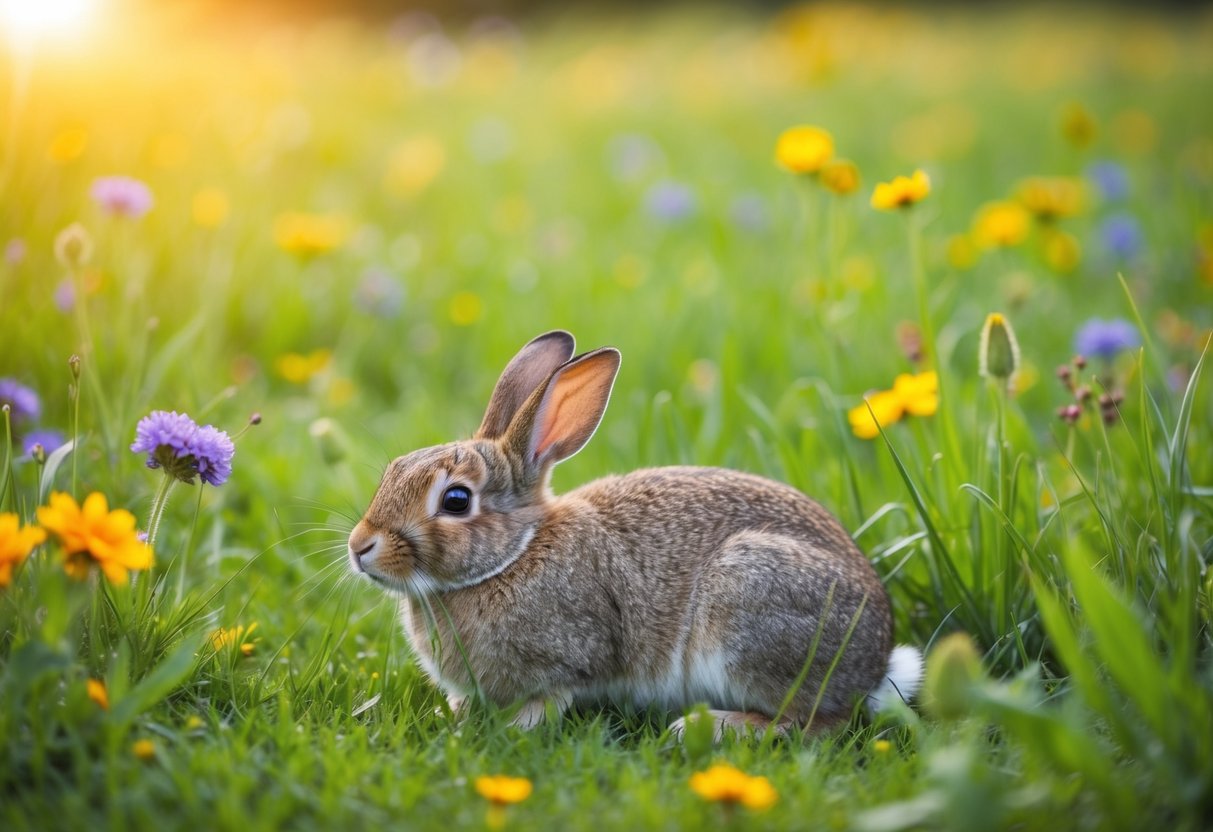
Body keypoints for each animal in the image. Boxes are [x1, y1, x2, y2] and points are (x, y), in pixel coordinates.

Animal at [348, 330, 923, 739]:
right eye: (393, 469)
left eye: (456, 501)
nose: (359, 548)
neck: (514, 555)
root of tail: (875, 664)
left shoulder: (576, 655)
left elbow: (554, 697)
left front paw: (513, 727)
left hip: (750, 600)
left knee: (819, 724)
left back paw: (715, 726)